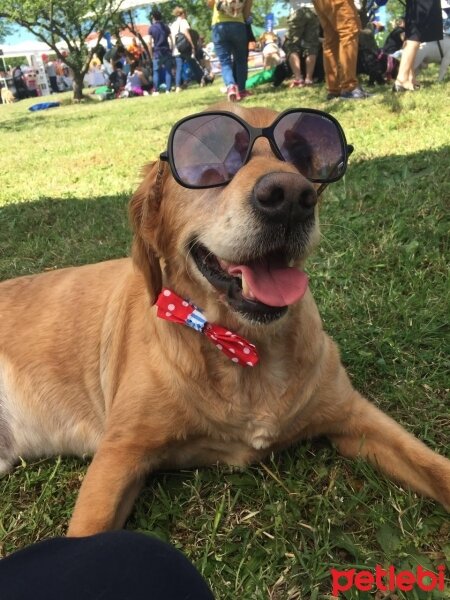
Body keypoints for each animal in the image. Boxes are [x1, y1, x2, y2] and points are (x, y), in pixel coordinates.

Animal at [0, 104, 448, 540]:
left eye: (303, 153)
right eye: (209, 161)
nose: (290, 196)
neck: (244, 345)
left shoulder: (354, 415)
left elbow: (435, 468)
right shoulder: (119, 453)